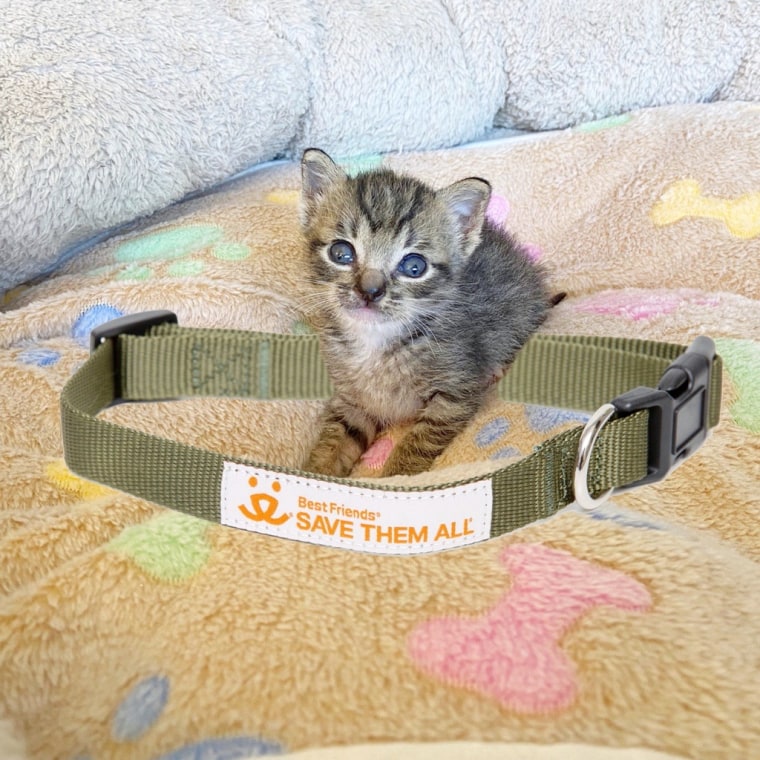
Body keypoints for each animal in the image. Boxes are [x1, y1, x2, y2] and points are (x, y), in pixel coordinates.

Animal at [298, 151, 552, 478]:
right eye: (341, 253)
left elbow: (417, 445)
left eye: (414, 267)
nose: (370, 291)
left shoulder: (454, 393)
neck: (376, 342)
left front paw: (396, 477)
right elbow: (331, 446)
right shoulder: (352, 400)